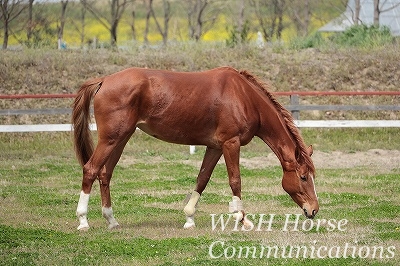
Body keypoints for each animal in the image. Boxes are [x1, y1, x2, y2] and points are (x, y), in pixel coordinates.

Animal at [72, 66, 318, 231]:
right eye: (303, 177)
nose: (314, 210)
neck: (244, 97)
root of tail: (104, 80)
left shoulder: (215, 147)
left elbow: (202, 179)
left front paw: (189, 218)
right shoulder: (231, 144)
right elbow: (235, 180)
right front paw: (242, 218)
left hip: (120, 139)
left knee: (105, 174)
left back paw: (111, 220)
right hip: (110, 139)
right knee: (91, 169)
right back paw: (83, 221)